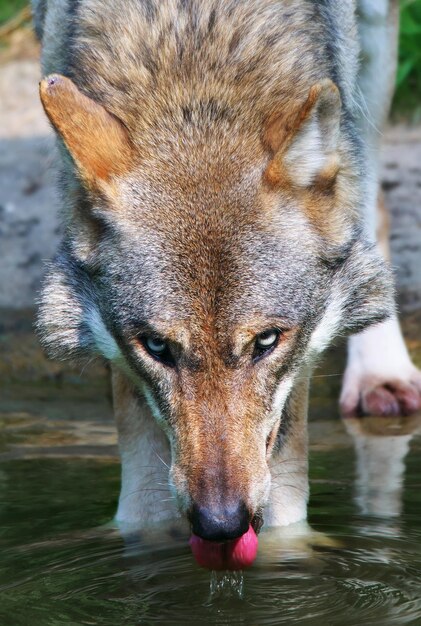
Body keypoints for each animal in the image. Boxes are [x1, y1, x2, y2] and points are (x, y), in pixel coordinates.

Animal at [32, 0, 420, 560]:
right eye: (157, 347)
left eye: (267, 341)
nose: (220, 523)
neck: (194, 55)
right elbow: (144, 507)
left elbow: (285, 506)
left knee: (366, 198)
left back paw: (381, 374)